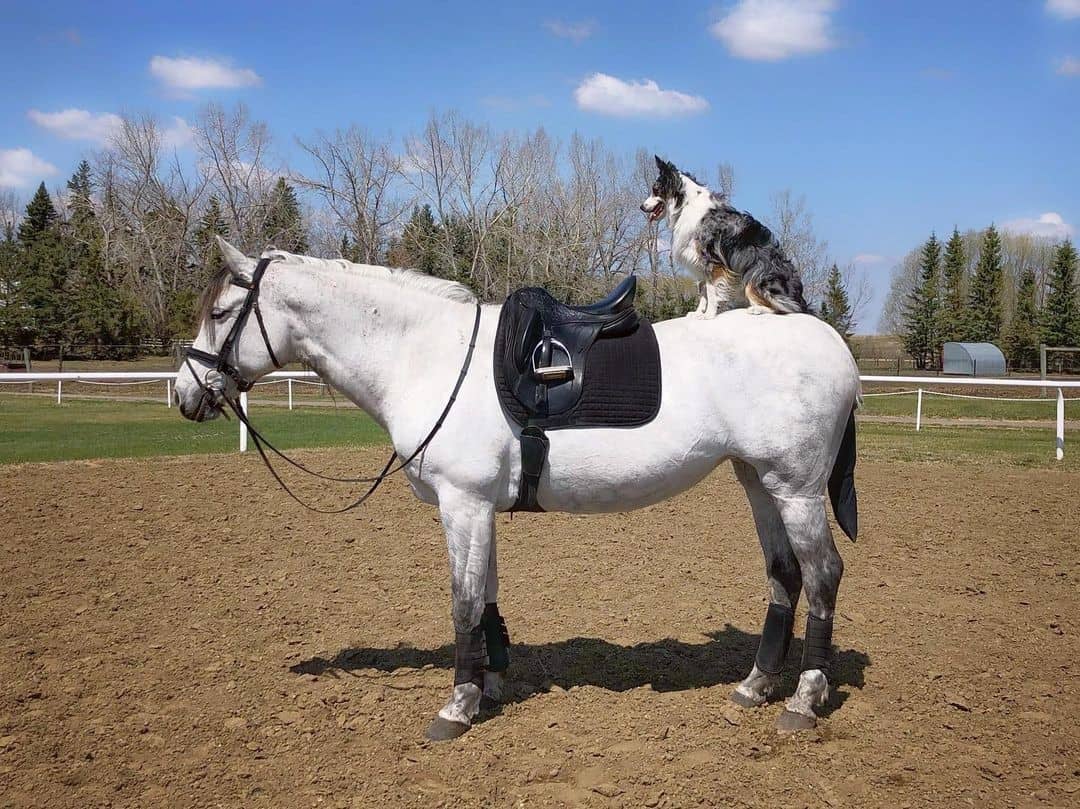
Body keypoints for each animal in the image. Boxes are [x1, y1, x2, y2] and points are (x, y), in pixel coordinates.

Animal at [174, 238, 859, 738]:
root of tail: (825, 338)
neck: (425, 355)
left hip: (796, 489)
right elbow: (486, 598)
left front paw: (457, 705)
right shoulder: (478, 507)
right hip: (758, 480)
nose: (184, 394)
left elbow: (462, 601)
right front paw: (490, 684)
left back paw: (802, 699)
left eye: (219, 314)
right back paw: (755, 686)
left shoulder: (462, 504)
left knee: (822, 574)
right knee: (784, 574)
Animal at [635, 154, 807, 319]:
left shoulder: (712, 261)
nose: (641, 207)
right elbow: (702, 290)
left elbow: (711, 291)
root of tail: (799, 296)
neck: (685, 204)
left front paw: (709, 315)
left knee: (786, 308)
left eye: (655, 190)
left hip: (754, 277)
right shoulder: (699, 262)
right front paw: (699, 313)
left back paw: (756, 309)